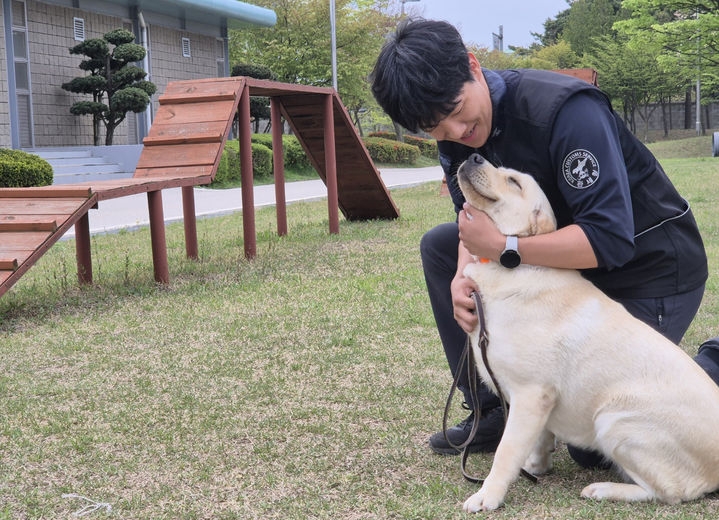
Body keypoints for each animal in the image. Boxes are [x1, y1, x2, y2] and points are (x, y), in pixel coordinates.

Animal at [458, 153, 719, 512]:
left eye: (514, 182)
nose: (473, 156)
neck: (511, 267)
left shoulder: (530, 394)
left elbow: (506, 451)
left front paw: (488, 495)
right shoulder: (540, 401)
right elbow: (538, 438)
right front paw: (536, 465)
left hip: (613, 419)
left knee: (671, 492)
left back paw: (603, 489)